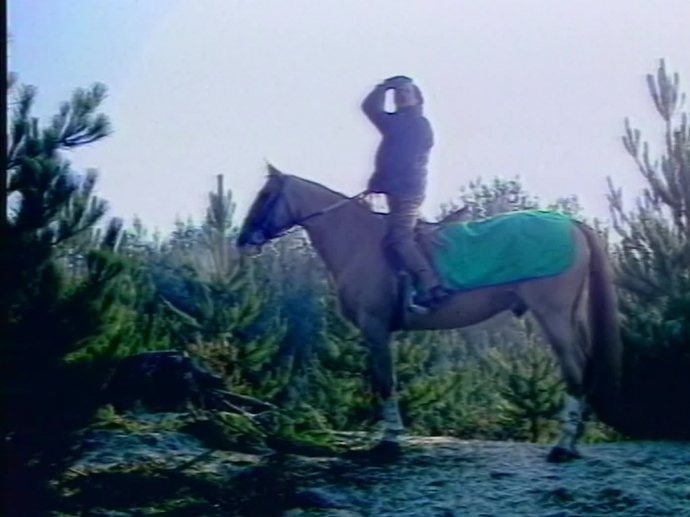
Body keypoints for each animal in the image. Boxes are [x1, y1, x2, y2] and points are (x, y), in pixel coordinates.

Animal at [236, 166, 620, 464]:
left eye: (266, 194)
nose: (243, 240)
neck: (359, 242)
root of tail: (572, 223)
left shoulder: (376, 328)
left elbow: (385, 382)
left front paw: (389, 441)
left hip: (552, 315)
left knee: (573, 370)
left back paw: (562, 447)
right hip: (569, 316)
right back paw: (573, 442)